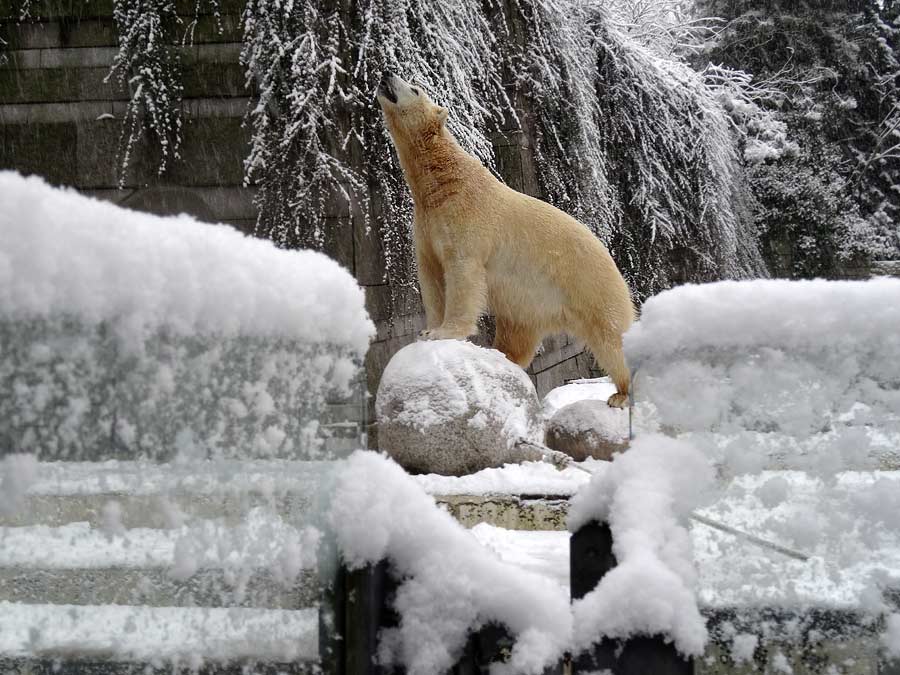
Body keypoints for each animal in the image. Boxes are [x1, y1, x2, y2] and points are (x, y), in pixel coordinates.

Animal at [376, 73, 636, 406]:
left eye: (415, 88)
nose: (386, 74)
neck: (445, 181)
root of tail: (609, 254)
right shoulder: (426, 226)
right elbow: (431, 277)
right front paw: (427, 330)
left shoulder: (468, 221)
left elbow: (462, 274)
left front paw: (443, 332)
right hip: (530, 304)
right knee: (518, 336)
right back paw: (499, 354)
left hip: (589, 285)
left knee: (611, 337)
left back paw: (621, 393)